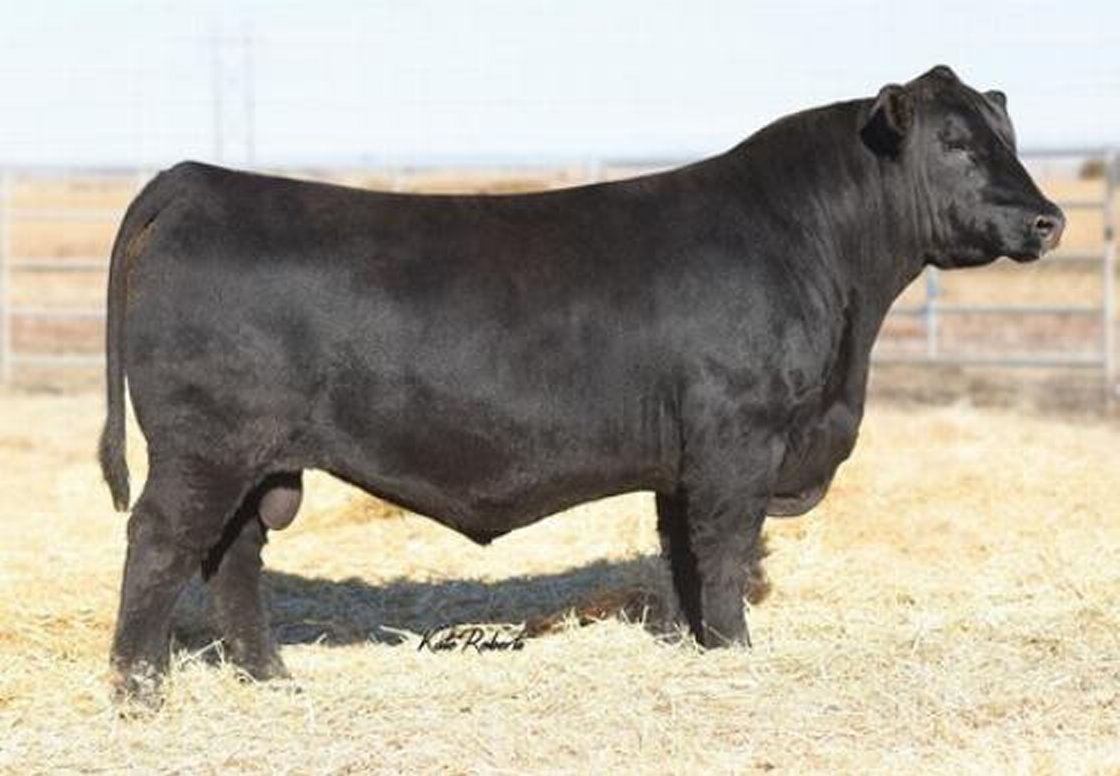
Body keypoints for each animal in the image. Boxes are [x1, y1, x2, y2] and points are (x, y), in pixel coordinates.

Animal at [100, 65, 1063, 705]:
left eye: (1007, 139)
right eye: (954, 144)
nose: (1047, 220)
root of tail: (195, 179)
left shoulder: (686, 459)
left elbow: (683, 556)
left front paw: (698, 648)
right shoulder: (737, 439)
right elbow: (722, 551)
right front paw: (737, 654)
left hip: (256, 460)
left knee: (232, 558)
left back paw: (271, 679)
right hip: (203, 449)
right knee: (160, 544)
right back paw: (140, 689)